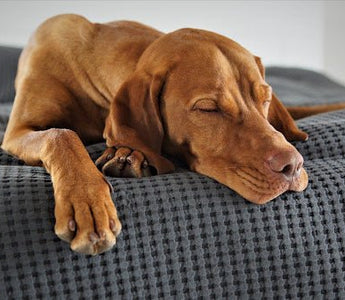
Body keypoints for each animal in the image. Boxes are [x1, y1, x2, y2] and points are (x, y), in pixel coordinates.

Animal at [1, 13, 342, 253]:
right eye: (208, 108)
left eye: (265, 97)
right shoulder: (17, 131)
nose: (293, 166)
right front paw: (85, 202)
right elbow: (61, 134)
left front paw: (126, 154)